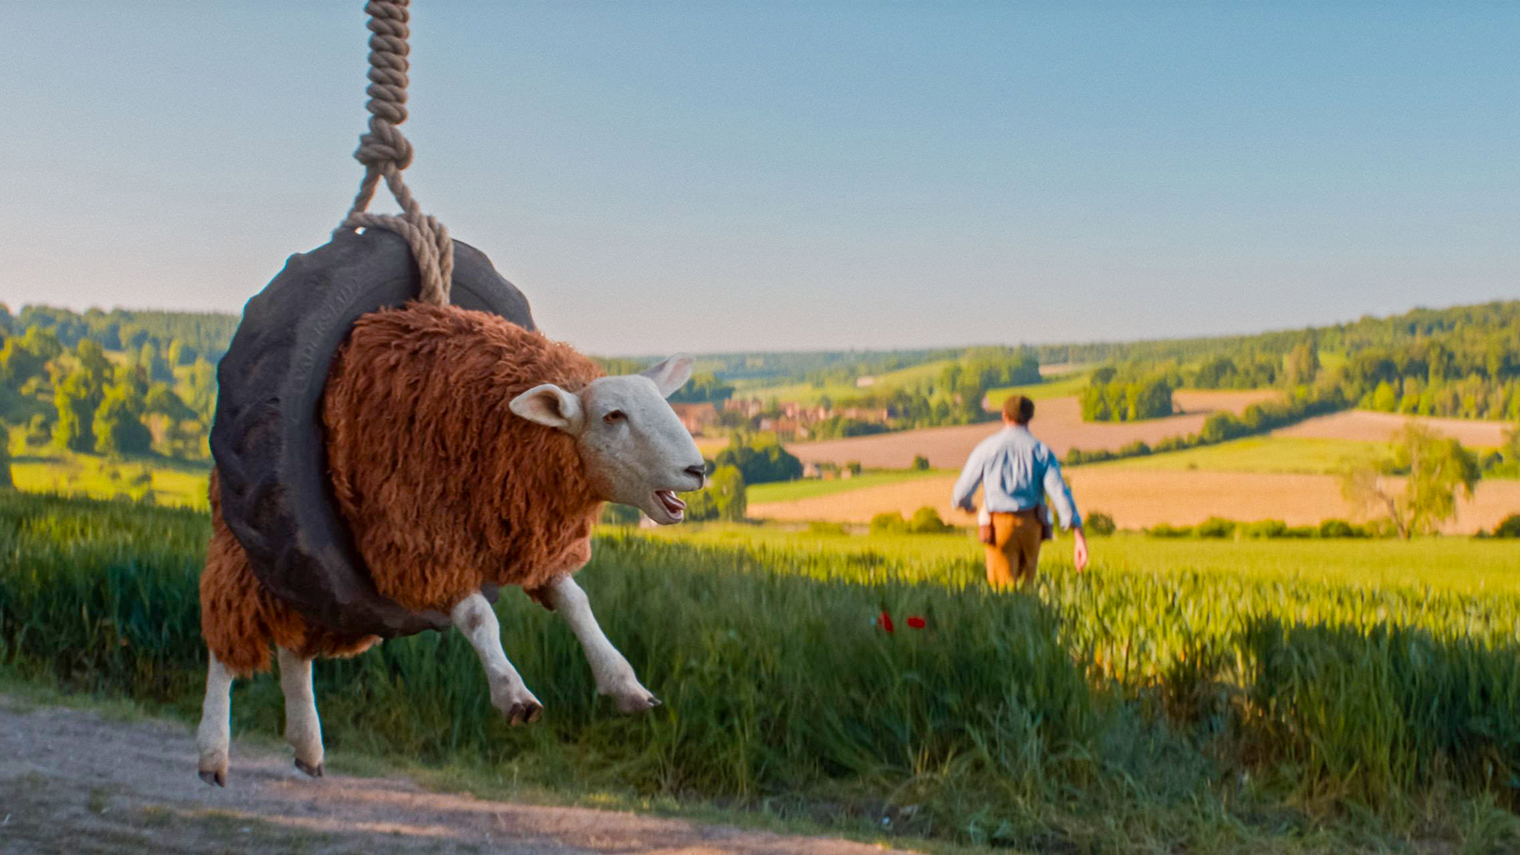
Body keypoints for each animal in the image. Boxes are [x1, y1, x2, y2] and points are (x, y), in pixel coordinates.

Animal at [196, 303, 706, 786]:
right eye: (613, 416)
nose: (698, 470)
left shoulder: (532, 543)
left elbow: (578, 604)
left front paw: (625, 685)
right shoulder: (426, 540)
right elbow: (480, 617)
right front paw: (513, 694)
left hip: (317, 589)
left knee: (293, 648)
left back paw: (307, 746)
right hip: (251, 557)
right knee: (225, 646)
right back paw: (213, 753)